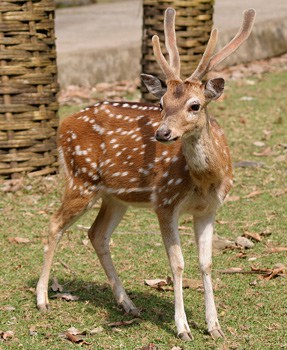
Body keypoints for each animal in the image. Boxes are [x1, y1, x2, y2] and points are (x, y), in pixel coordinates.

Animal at [35, 7, 256, 342]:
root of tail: (64, 124)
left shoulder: (210, 209)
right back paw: (43, 299)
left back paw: (128, 304)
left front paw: (215, 327)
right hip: (80, 178)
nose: (162, 133)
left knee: (97, 234)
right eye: (162, 103)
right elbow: (177, 264)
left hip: (114, 197)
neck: (204, 181)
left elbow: (206, 263)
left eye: (195, 105)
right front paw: (183, 328)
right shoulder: (164, 201)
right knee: (54, 223)